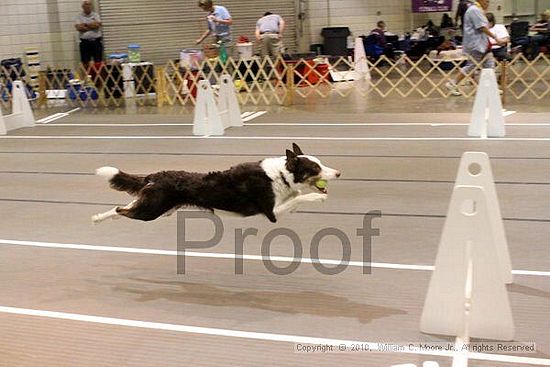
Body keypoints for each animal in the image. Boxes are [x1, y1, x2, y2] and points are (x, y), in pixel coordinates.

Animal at [91, 144, 340, 224]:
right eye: (315, 168)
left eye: (321, 163)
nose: (338, 173)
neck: (279, 174)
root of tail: (155, 175)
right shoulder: (271, 212)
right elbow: (300, 196)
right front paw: (318, 197)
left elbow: (295, 197)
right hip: (151, 211)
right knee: (121, 209)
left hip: (157, 206)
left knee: (122, 207)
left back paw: (97, 218)